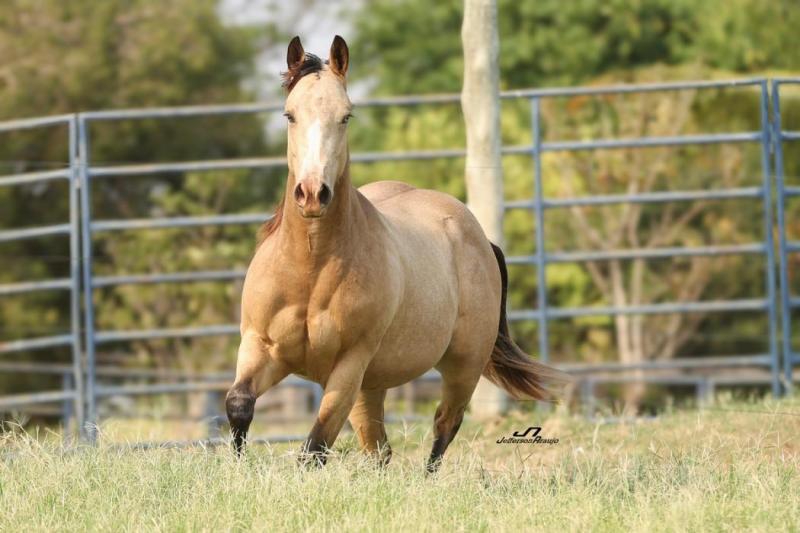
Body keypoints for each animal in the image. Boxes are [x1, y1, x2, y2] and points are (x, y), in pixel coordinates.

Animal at [223, 35, 568, 472]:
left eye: (346, 116)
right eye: (289, 116)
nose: (313, 193)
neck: (309, 270)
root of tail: (479, 238)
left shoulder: (348, 366)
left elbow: (315, 445)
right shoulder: (260, 347)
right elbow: (239, 404)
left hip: (462, 366)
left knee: (444, 425)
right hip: (374, 384)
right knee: (379, 447)